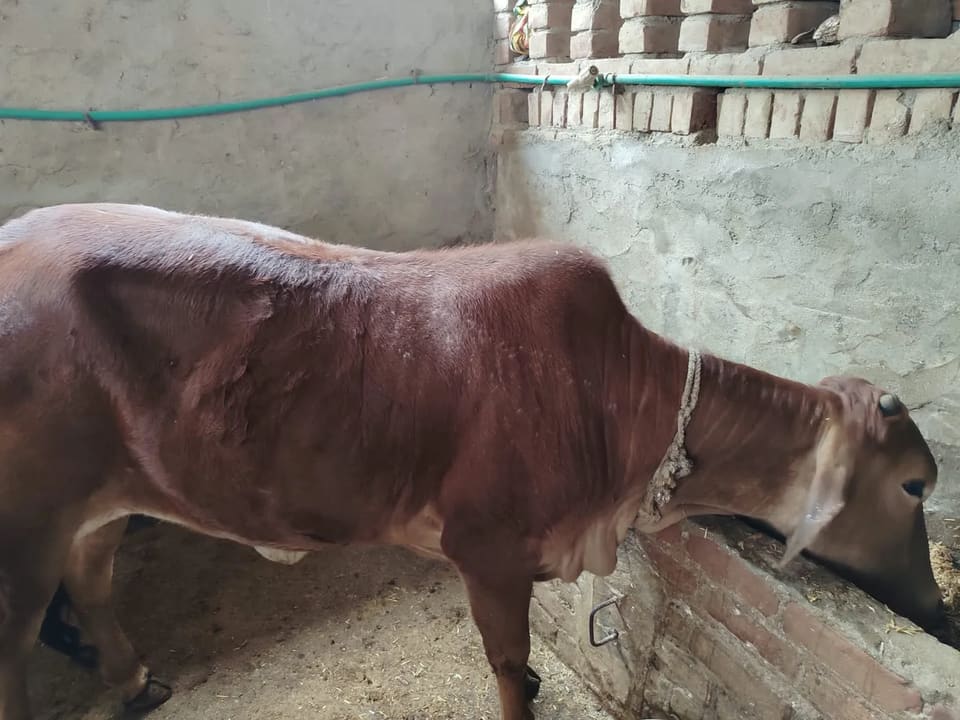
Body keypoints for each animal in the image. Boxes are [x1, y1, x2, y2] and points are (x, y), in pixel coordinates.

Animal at [0, 203, 948, 720]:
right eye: (915, 484)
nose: (941, 612)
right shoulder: (488, 550)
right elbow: (506, 669)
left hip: (108, 495)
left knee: (90, 580)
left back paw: (135, 681)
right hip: (26, 524)